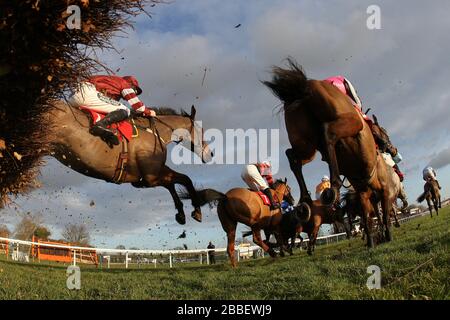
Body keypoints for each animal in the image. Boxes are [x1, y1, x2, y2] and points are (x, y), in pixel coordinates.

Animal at [46, 100, 214, 225]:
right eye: (201, 130)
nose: (210, 154)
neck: (155, 132)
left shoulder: (147, 177)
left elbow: (179, 181)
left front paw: (182, 213)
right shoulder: (149, 179)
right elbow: (181, 180)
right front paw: (196, 210)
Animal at [264, 58, 398, 248]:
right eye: (385, 132)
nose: (393, 149)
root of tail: (305, 87)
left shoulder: (364, 193)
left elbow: (368, 218)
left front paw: (372, 240)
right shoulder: (383, 191)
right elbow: (384, 215)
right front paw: (386, 235)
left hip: (307, 145)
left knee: (292, 155)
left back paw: (305, 200)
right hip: (349, 123)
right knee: (328, 135)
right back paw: (332, 187)